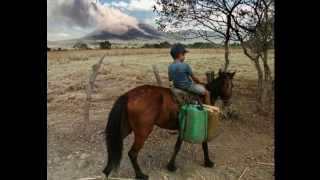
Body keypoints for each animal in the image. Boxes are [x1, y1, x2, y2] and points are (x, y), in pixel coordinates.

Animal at [102, 69, 235, 179]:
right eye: (228, 85)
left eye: (232, 85)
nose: (228, 103)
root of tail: (128, 95)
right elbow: (203, 144)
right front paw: (207, 162)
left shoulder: (183, 128)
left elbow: (177, 146)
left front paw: (171, 165)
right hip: (142, 133)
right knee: (132, 153)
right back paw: (140, 175)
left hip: (126, 129)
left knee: (113, 143)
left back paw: (107, 170)